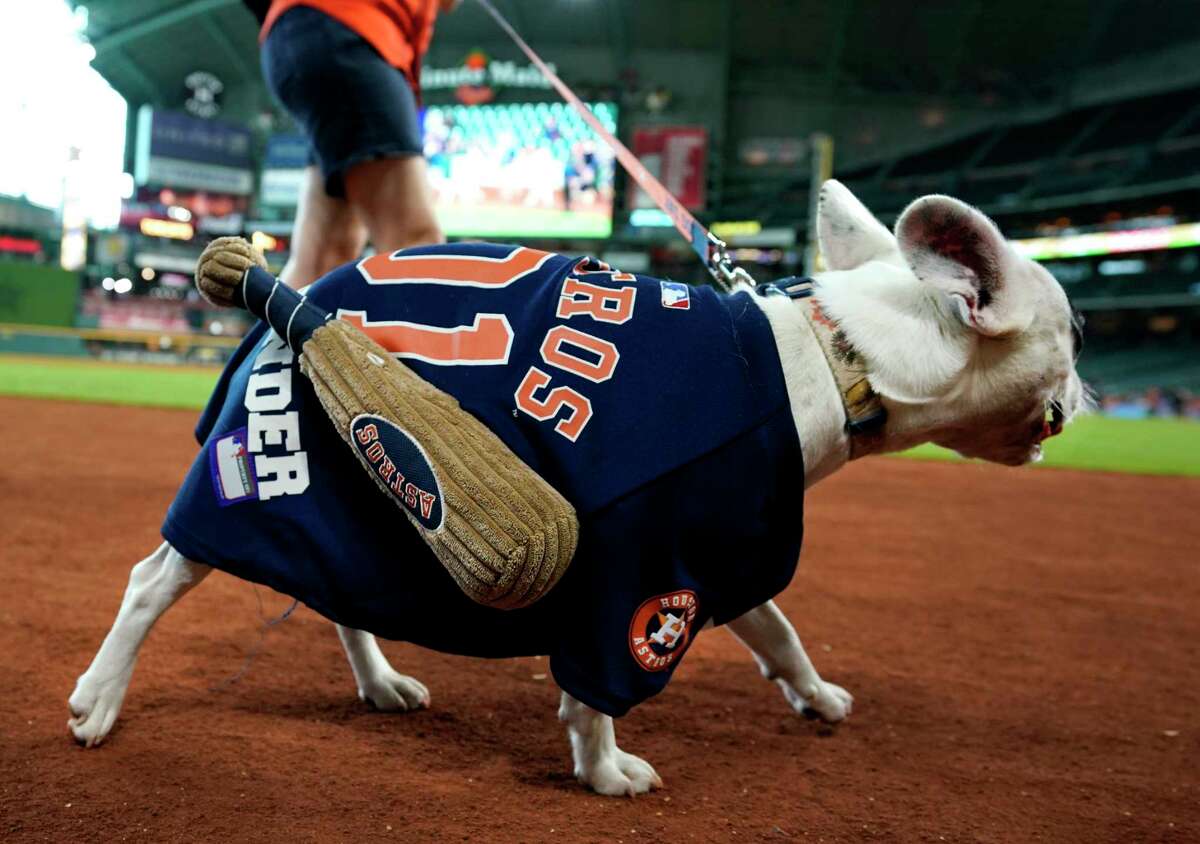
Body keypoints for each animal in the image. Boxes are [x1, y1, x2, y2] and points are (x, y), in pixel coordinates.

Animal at [70, 181, 1094, 797]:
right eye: (1079, 329)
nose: (1092, 390)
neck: (841, 355)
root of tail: (282, 302)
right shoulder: (639, 566)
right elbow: (597, 688)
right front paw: (605, 774)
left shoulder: (725, 538)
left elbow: (777, 630)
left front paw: (813, 695)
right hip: (268, 468)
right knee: (152, 582)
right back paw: (100, 700)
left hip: (367, 491)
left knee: (337, 594)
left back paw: (380, 680)